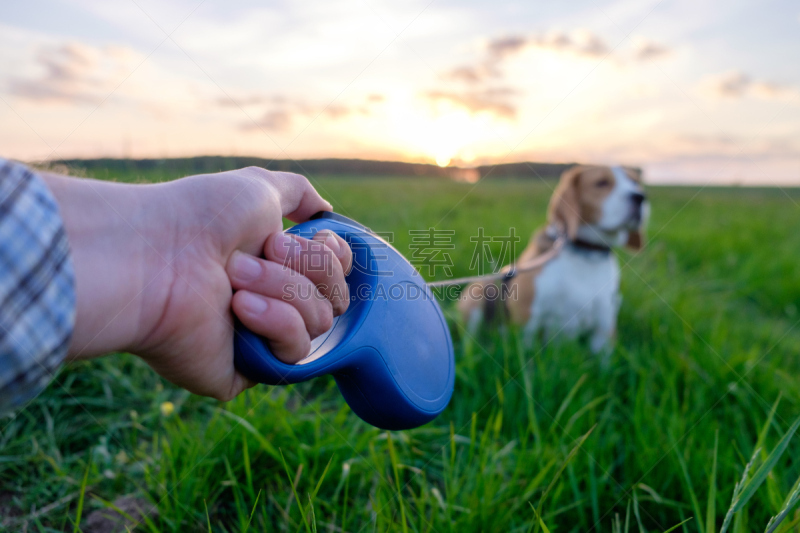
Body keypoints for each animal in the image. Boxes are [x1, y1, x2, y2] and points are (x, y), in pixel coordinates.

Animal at [460, 165, 648, 354]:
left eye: (635, 182)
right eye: (601, 183)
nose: (640, 197)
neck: (586, 255)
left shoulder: (604, 324)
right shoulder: (527, 316)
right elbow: (526, 352)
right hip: (475, 295)